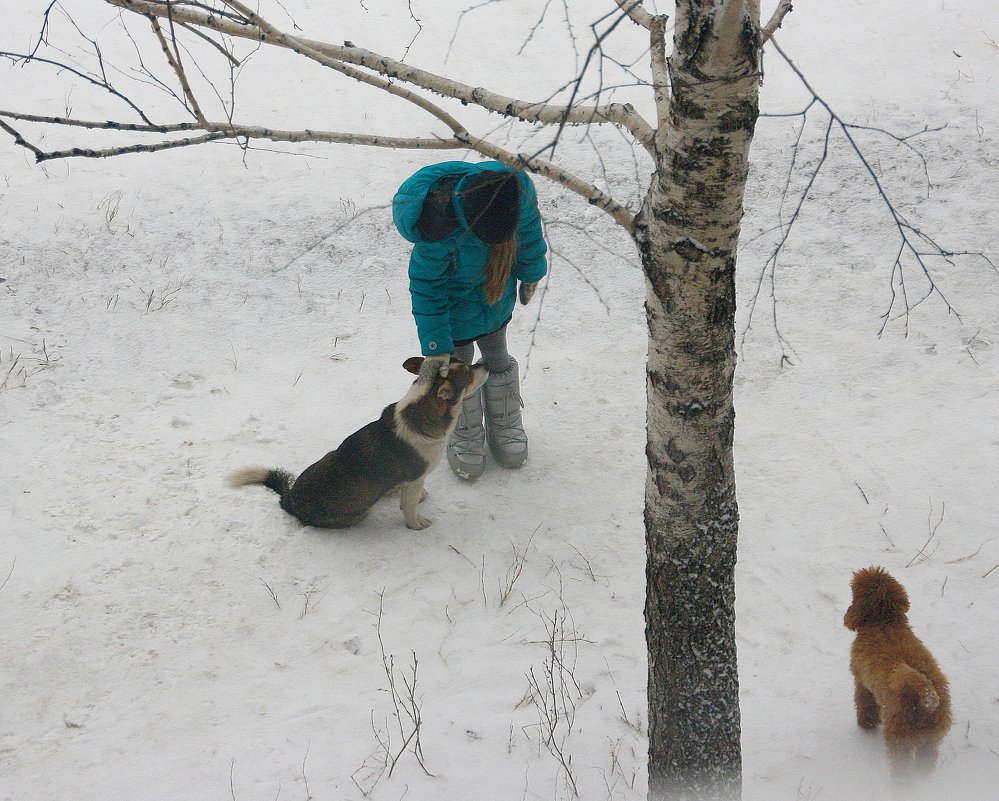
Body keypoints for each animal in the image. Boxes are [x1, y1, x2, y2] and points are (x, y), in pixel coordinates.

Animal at [230, 358, 488, 532]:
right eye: (468, 374)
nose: (484, 363)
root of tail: (290, 500)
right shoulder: (415, 478)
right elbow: (409, 506)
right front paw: (415, 523)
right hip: (359, 513)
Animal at [844, 564, 952, 780]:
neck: (884, 623)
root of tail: (924, 694)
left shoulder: (861, 681)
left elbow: (864, 704)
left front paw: (866, 724)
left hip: (899, 737)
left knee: (902, 767)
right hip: (930, 739)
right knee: (926, 761)